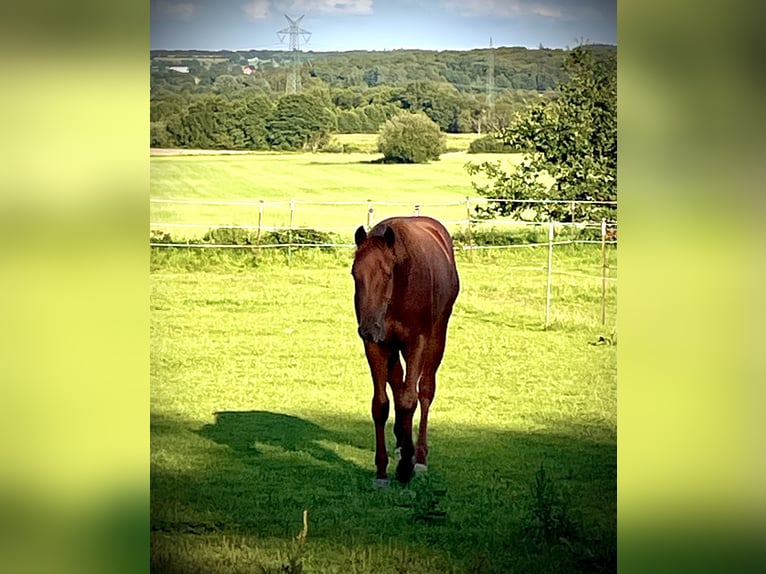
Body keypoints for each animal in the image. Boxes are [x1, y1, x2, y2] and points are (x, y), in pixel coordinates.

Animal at [352, 216, 460, 484]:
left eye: (387, 274)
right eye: (354, 274)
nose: (367, 327)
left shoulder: (416, 343)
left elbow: (410, 399)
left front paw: (405, 468)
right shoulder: (377, 345)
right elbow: (381, 404)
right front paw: (382, 470)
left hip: (437, 338)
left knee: (425, 391)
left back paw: (418, 457)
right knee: (398, 384)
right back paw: (403, 443)